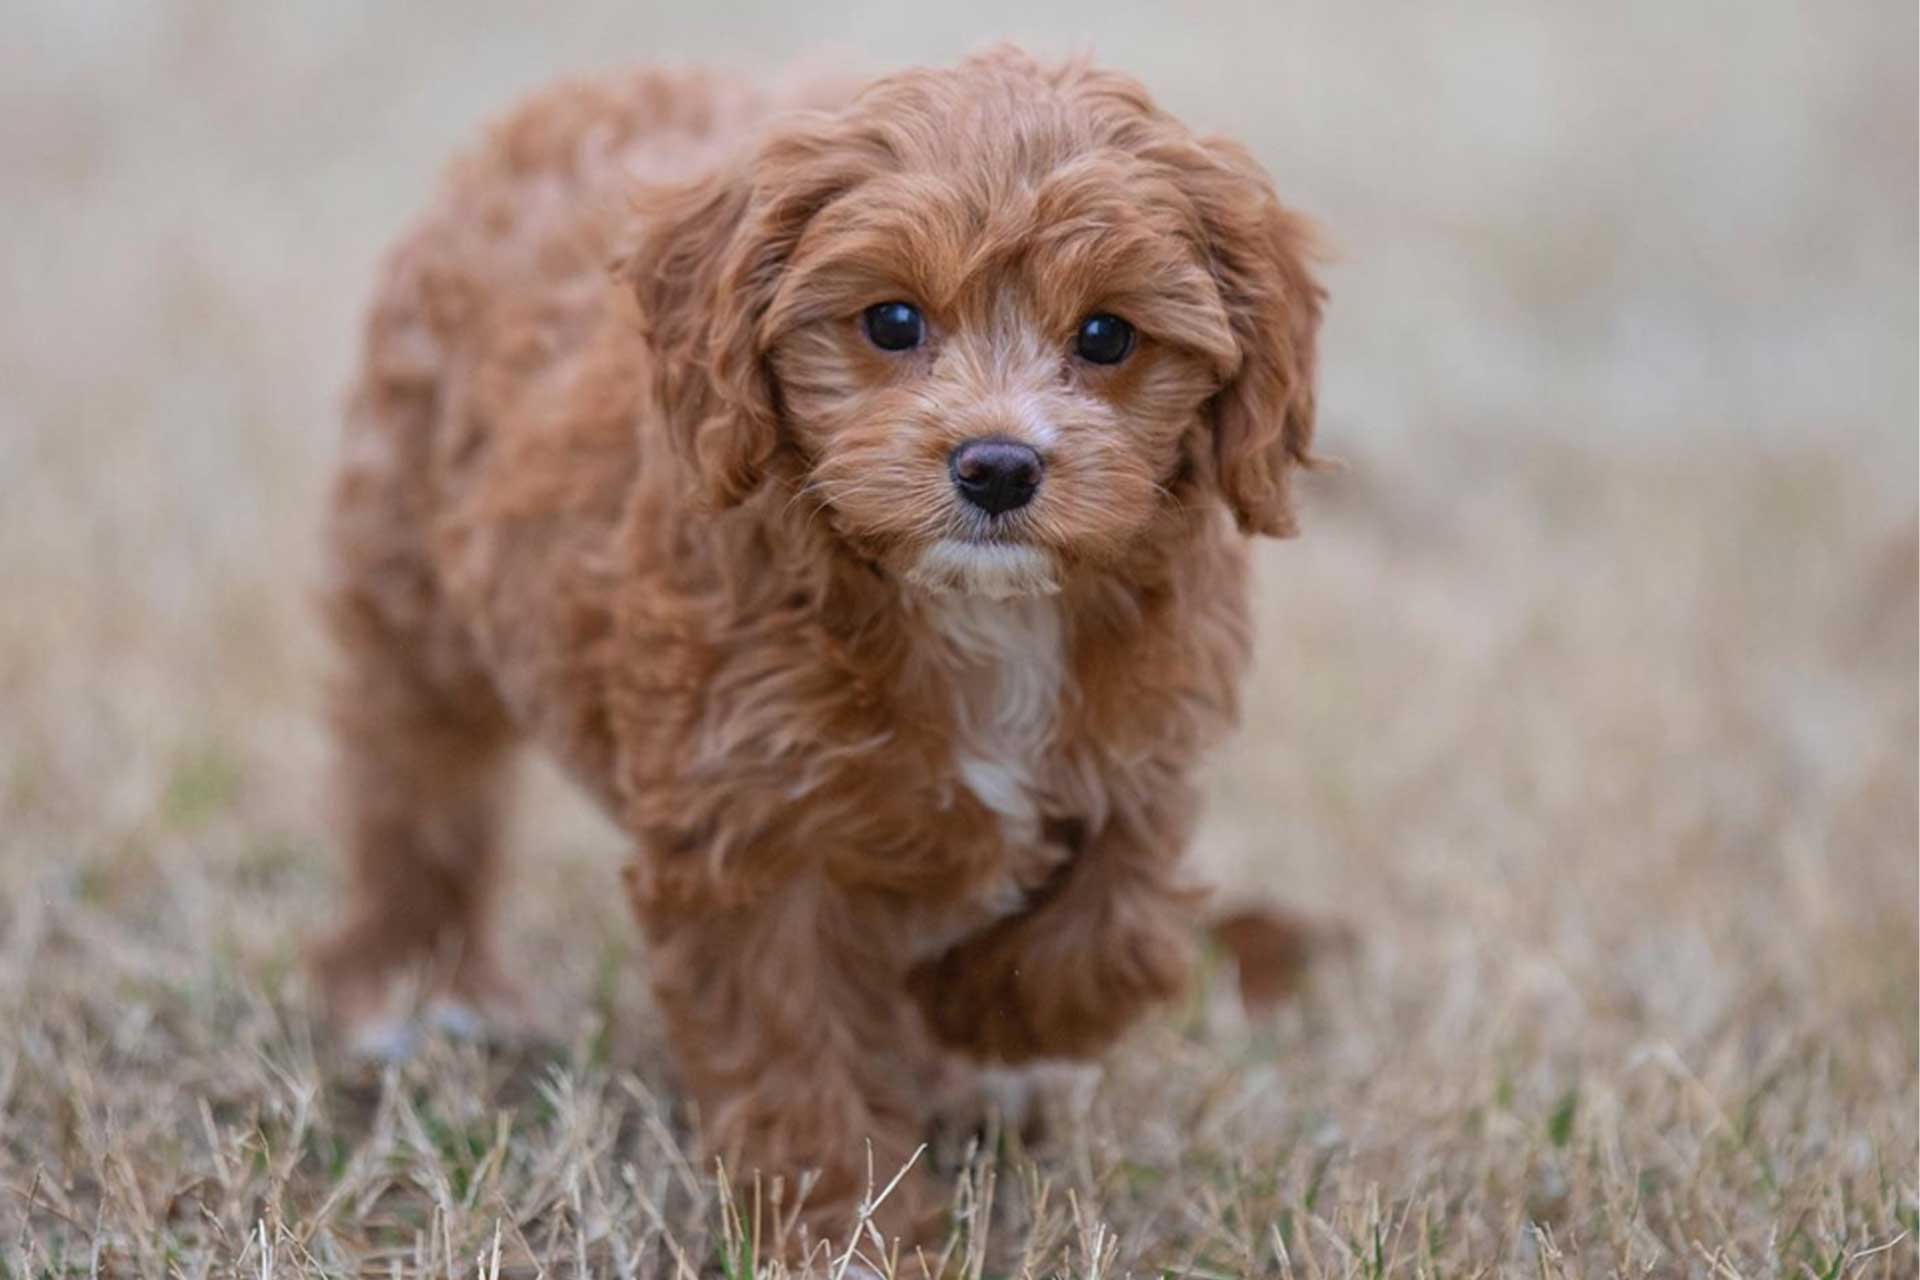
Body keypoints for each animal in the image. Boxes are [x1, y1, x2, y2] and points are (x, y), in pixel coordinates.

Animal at [318, 45, 1320, 1243]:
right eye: (890, 321)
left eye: (1107, 335)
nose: (997, 465)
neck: (980, 609)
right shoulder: (748, 823)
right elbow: (797, 1057)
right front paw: (854, 1229)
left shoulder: (1146, 739)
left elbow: (1116, 920)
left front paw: (982, 1012)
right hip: (410, 579)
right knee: (415, 786)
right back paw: (416, 987)